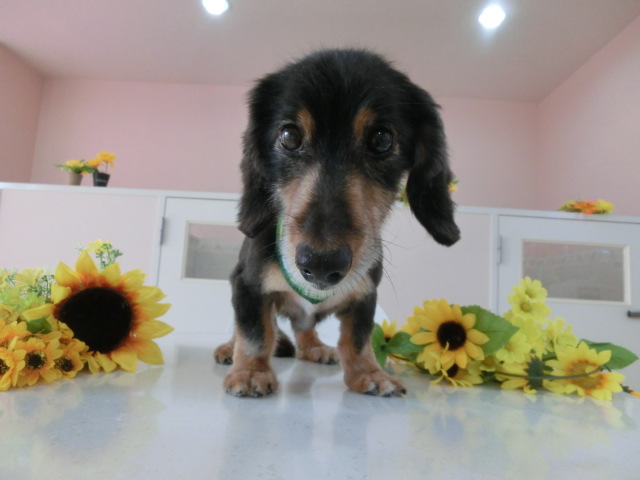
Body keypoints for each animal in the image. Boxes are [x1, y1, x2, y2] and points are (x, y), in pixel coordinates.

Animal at [214, 49, 460, 397]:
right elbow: (254, 334)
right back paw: (228, 349)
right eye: (289, 136)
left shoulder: (365, 295)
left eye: (382, 139)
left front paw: (369, 373)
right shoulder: (246, 286)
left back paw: (315, 347)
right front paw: (250, 372)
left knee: (303, 330)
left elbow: (356, 339)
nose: (320, 264)